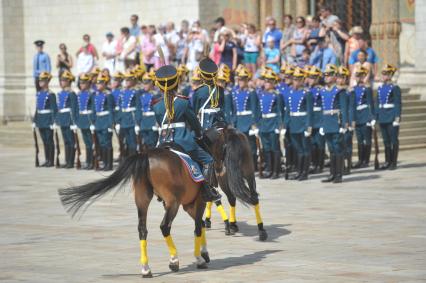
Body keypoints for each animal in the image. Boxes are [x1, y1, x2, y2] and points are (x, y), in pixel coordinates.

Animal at [58, 150, 211, 278]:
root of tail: (146, 155)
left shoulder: (189, 205)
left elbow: (201, 224)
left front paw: (204, 253)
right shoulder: (199, 201)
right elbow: (198, 227)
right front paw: (199, 258)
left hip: (142, 198)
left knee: (142, 230)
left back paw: (146, 269)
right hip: (172, 203)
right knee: (165, 226)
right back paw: (173, 260)